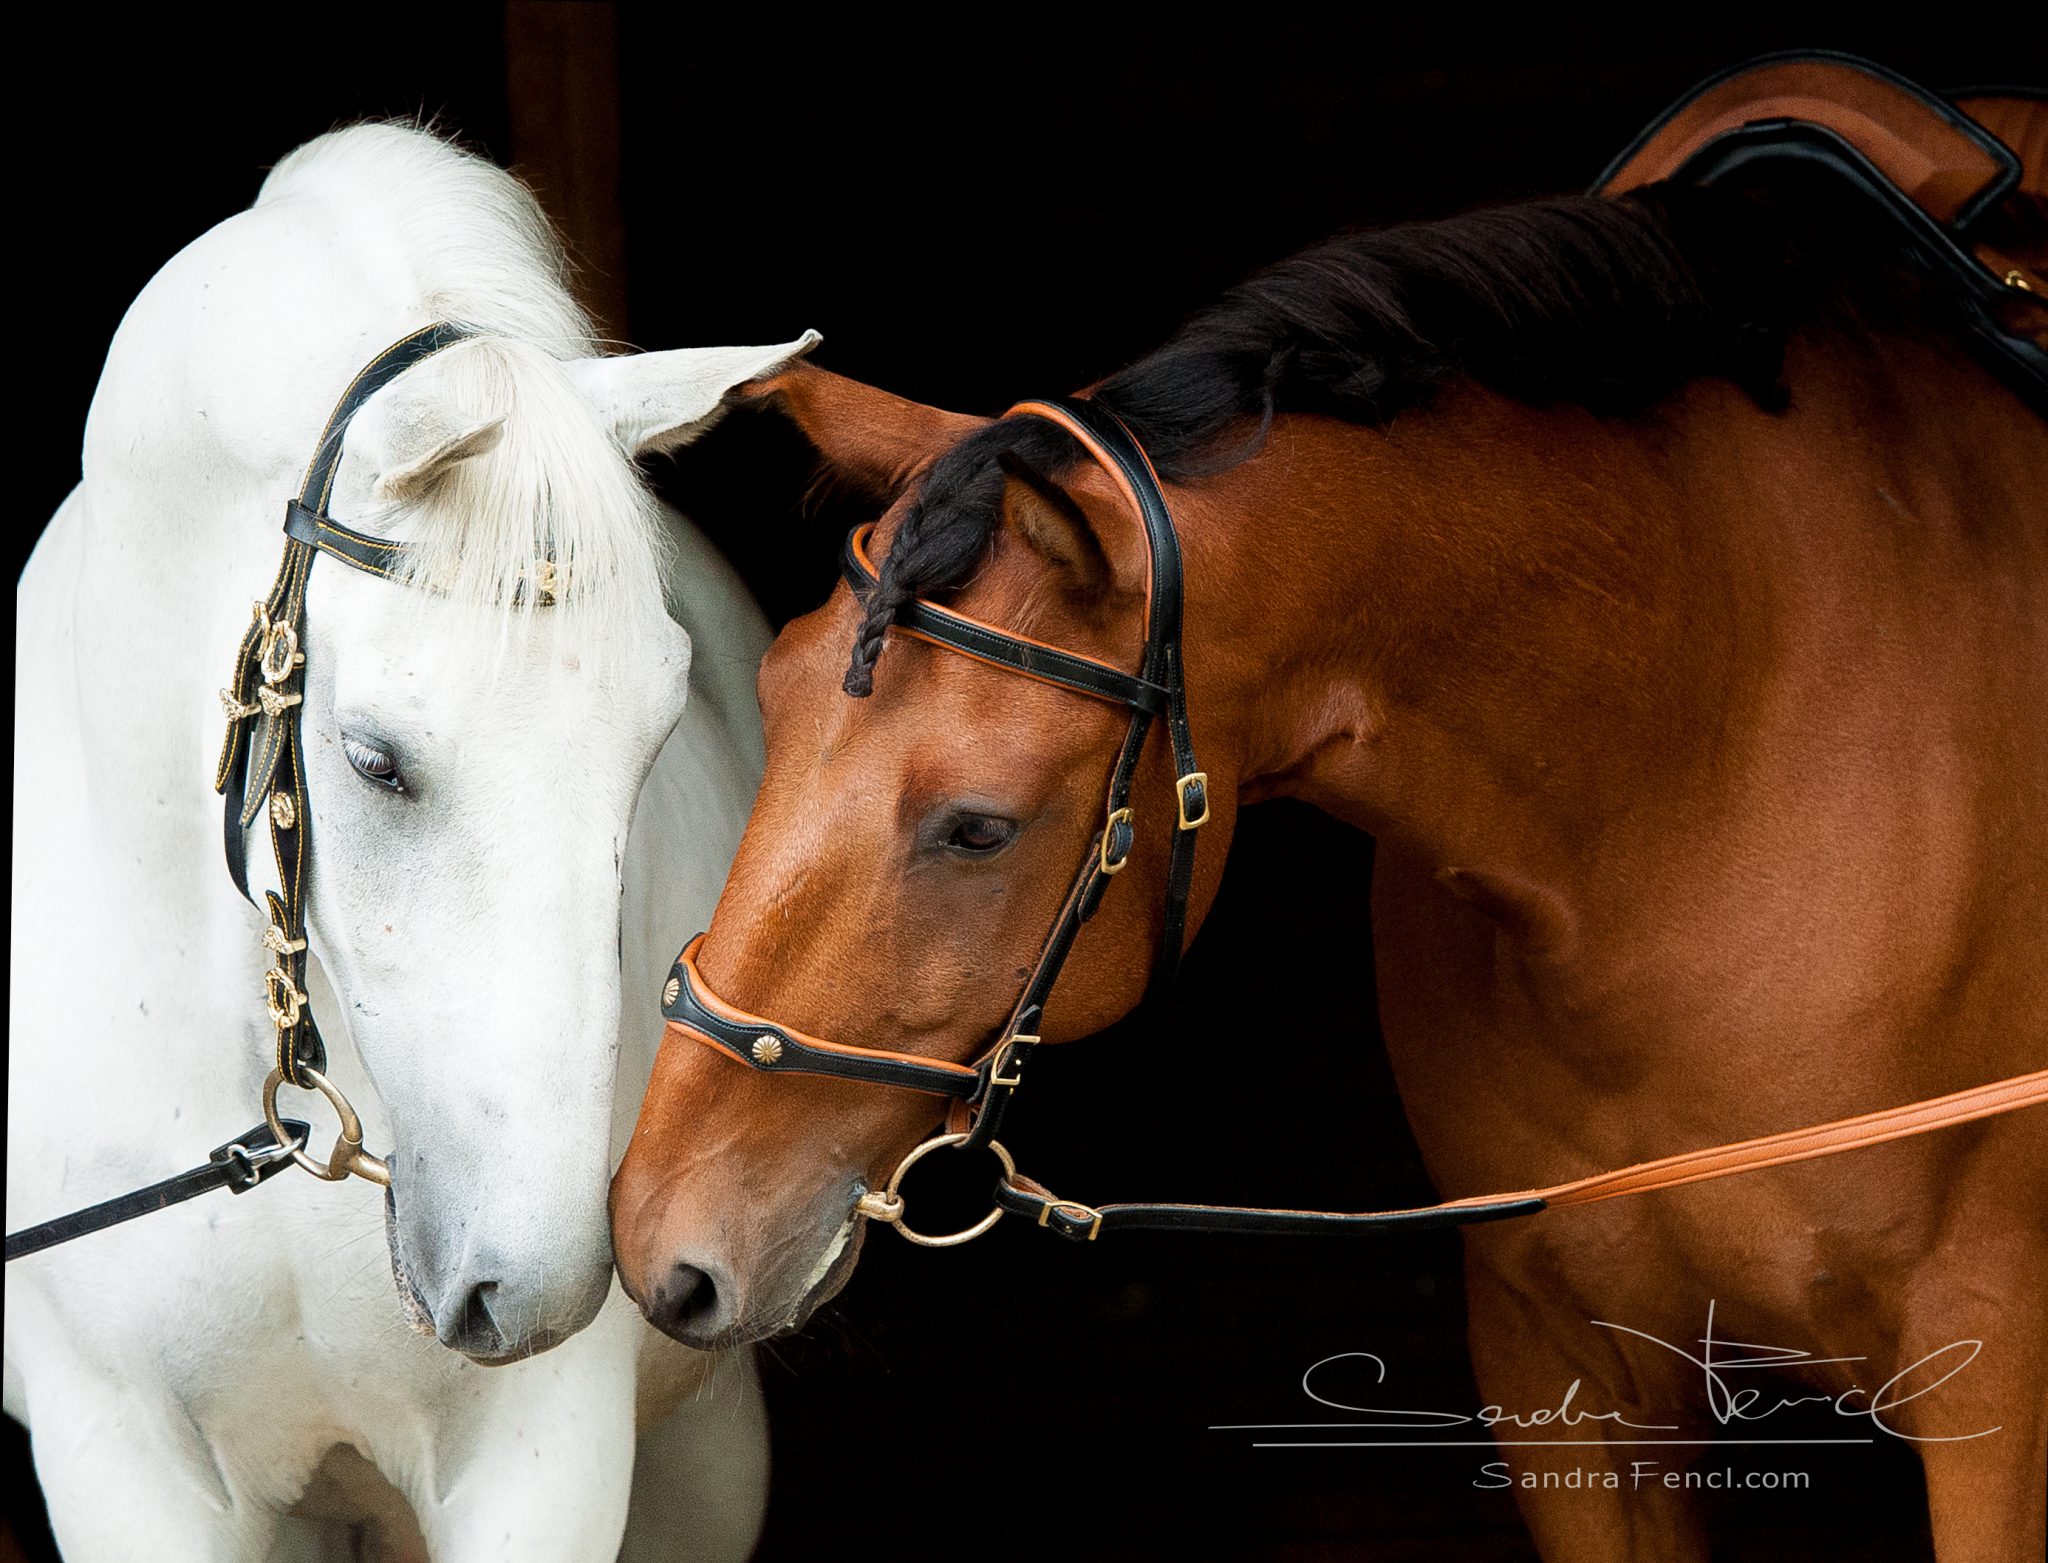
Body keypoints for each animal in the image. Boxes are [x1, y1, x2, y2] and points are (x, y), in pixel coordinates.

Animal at [610, 167, 2048, 1556]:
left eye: (978, 826)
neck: (1699, 751)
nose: (658, 1244)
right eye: (772, 695)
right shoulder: (1565, 1372)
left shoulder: (1990, 1378)